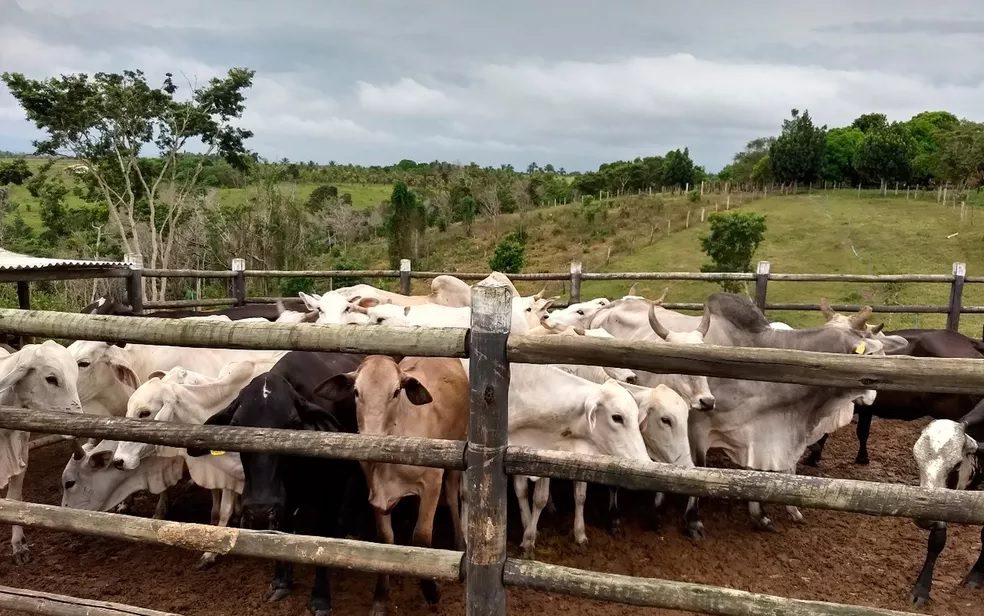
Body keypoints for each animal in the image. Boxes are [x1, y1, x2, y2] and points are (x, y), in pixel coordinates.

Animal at [189, 352, 366, 616]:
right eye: (237, 424)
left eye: (292, 424)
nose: (260, 509)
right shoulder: (282, 503)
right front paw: (282, 582)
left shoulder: (331, 493)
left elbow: (324, 541)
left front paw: (320, 598)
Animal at [318, 356, 468, 616]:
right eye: (356, 391)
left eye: (396, 391)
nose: (371, 437)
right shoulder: (375, 491)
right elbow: (386, 539)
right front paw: (380, 598)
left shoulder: (432, 482)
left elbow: (422, 536)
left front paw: (431, 590)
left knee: (451, 496)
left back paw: (459, 542)